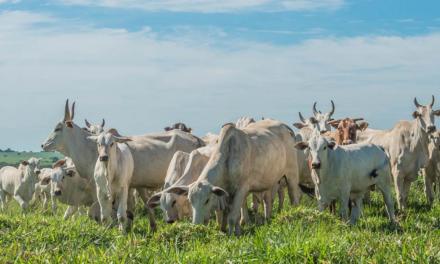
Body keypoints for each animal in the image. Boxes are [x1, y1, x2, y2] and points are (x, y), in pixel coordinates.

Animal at [41, 100, 205, 230]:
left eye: (57, 128)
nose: (43, 145)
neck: (88, 146)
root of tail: (196, 138)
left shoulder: (98, 188)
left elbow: (97, 212)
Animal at [167, 119, 300, 235]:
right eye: (190, 200)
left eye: (207, 200)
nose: (197, 225)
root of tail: (282, 125)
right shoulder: (226, 193)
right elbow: (228, 215)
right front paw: (233, 230)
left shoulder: (241, 189)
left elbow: (232, 216)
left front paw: (232, 235)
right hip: (270, 180)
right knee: (268, 200)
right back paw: (267, 218)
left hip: (292, 172)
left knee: (293, 195)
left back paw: (295, 215)